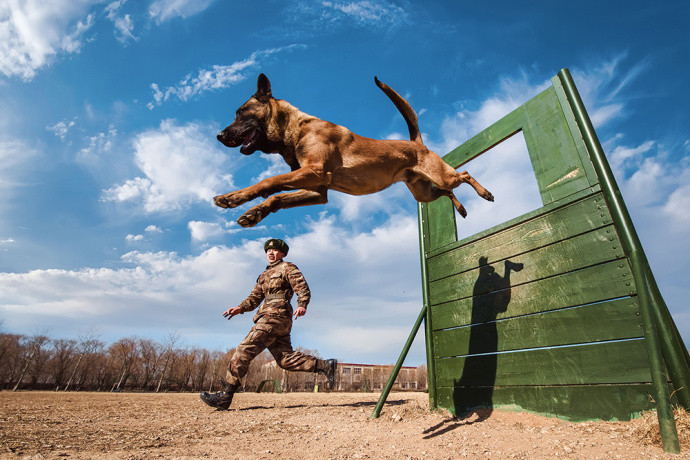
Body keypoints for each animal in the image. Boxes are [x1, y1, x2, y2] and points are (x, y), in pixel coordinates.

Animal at [214, 73, 490, 228]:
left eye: (240, 113)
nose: (219, 136)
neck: (296, 128)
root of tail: (417, 143)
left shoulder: (315, 171)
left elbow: (268, 181)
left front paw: (233, 197)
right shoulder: (317, 190)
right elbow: (277, 197)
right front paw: (254, 213)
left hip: (443, 175)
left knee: (464, 175)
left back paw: (485, 193)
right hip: (424, 194)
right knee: (446, 192)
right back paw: (461, 208)